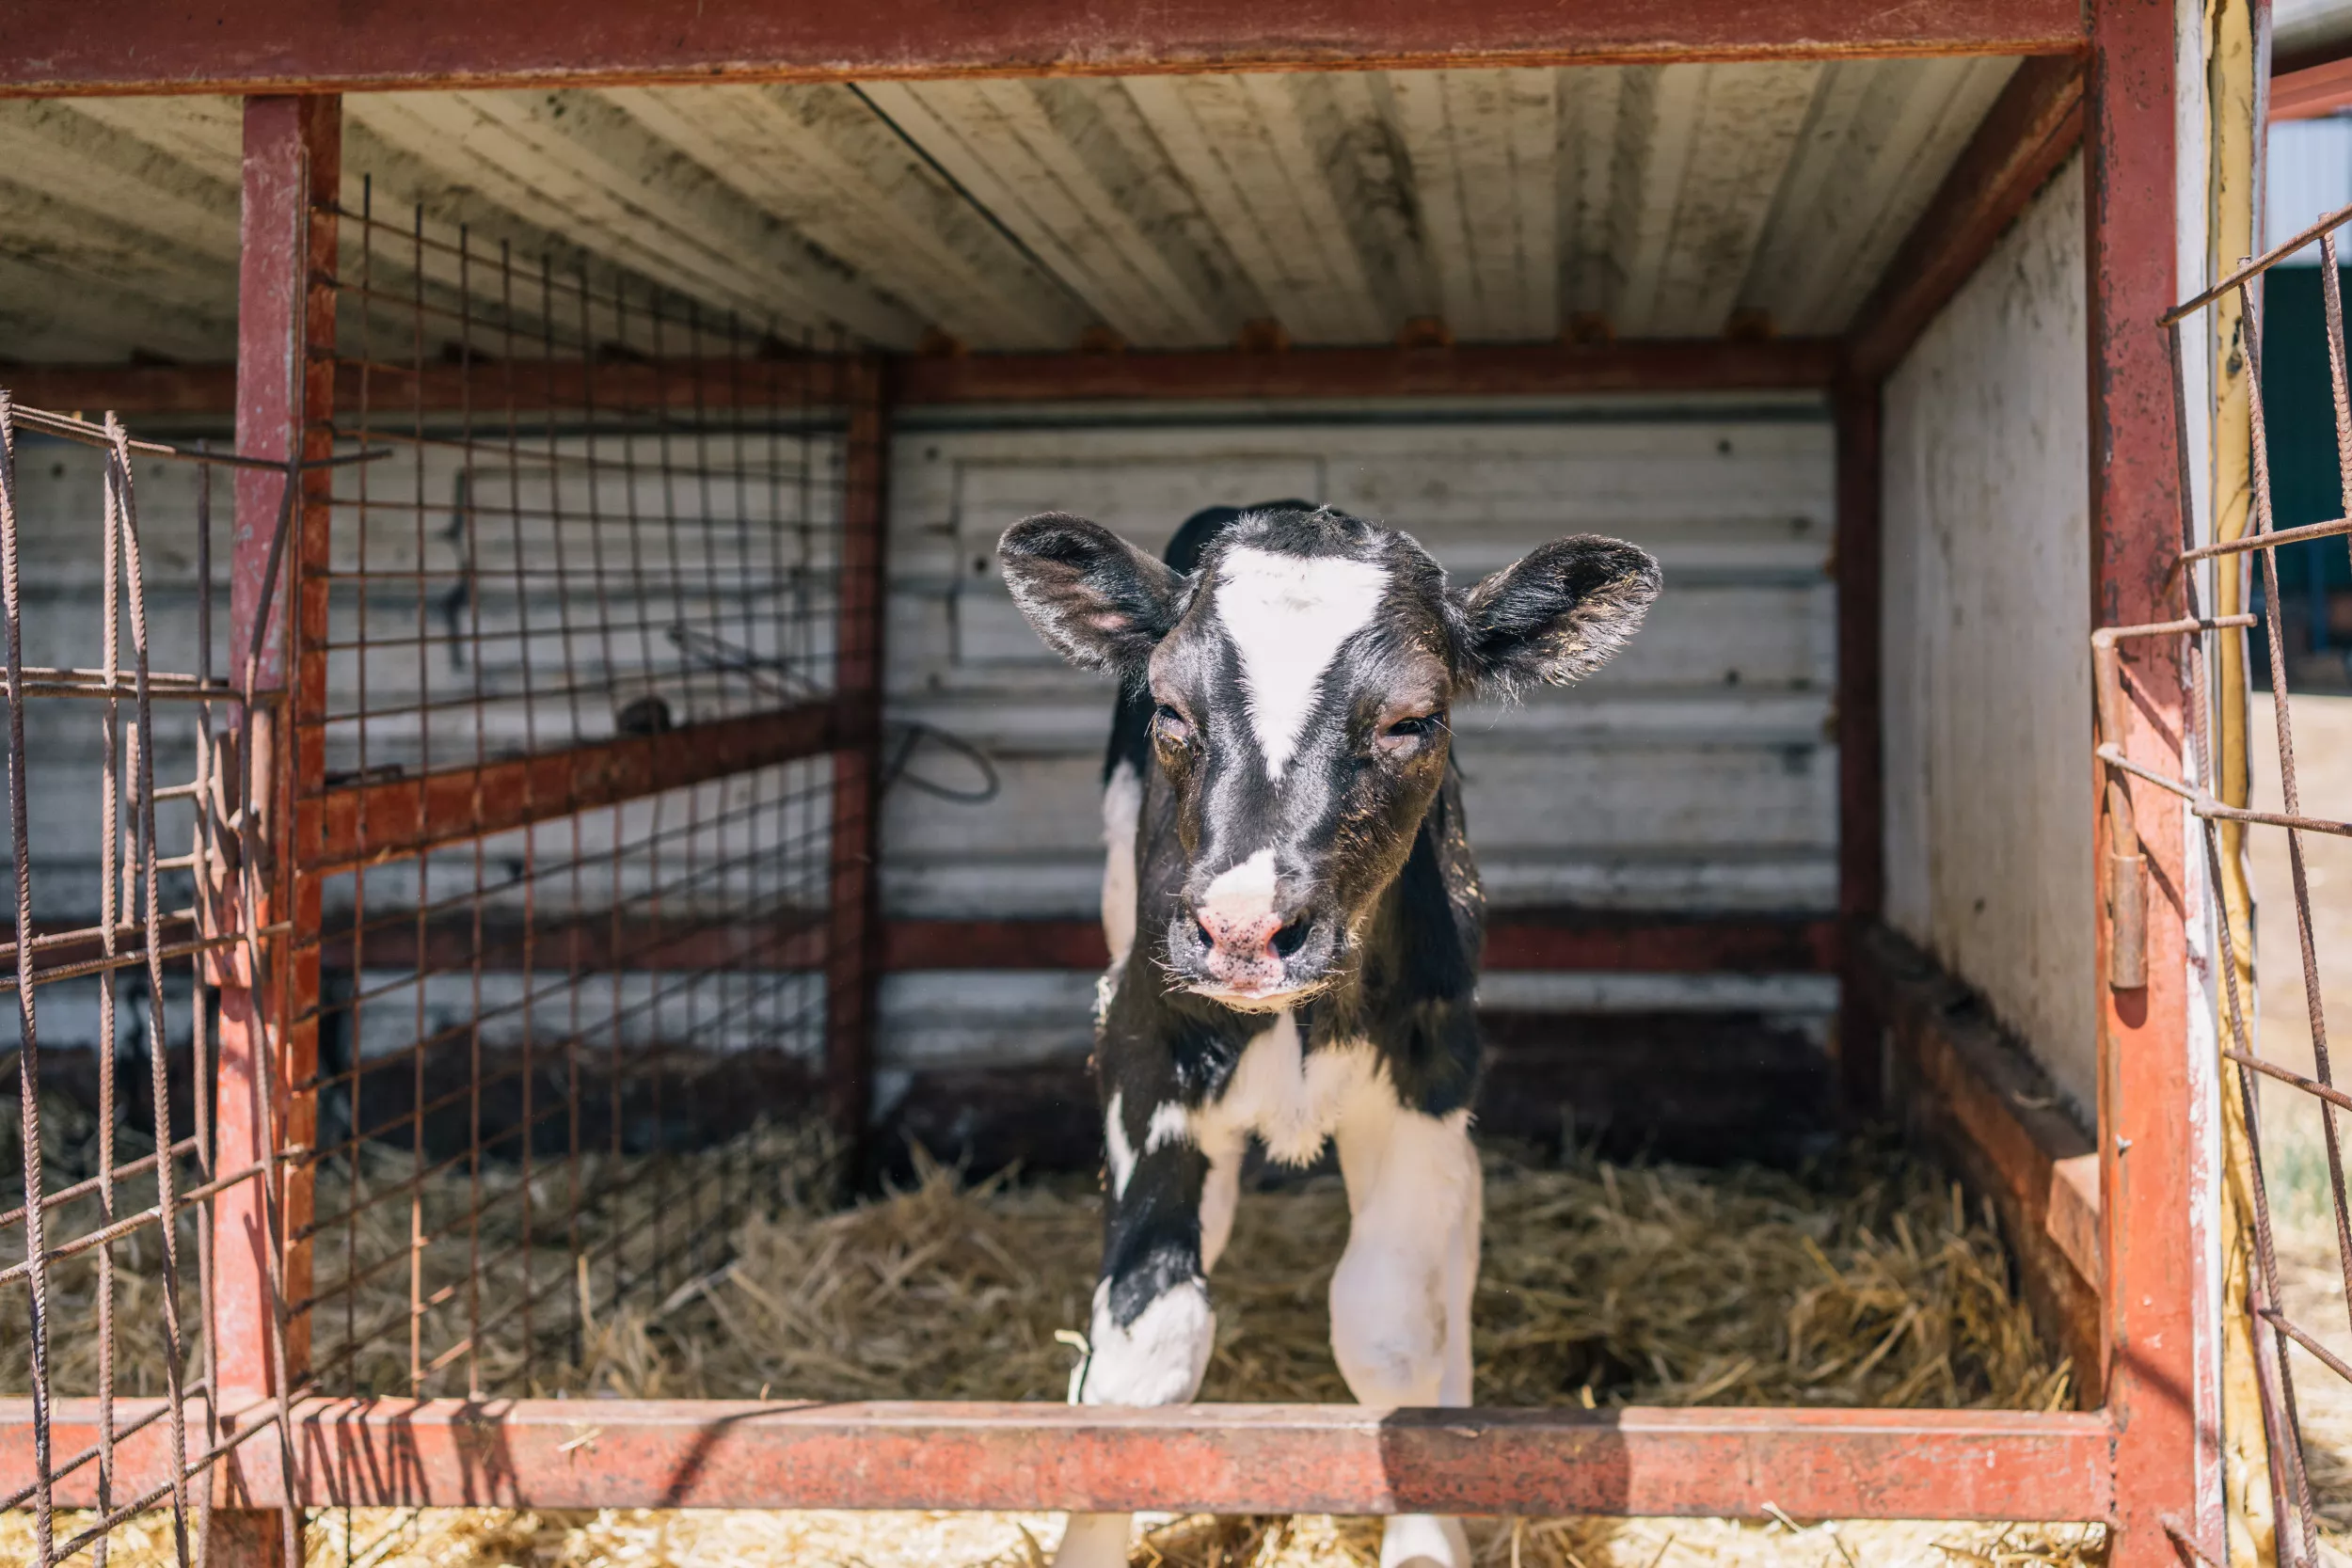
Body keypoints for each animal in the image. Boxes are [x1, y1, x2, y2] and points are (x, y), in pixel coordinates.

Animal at [996, 503, 1660, 1568]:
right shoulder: (1141, 1060)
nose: (1241, 929)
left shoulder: (1426, 1072)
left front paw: (1430, 1530)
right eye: (1169, 710)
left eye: (1411, 720)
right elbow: (1142, 1357)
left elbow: (1392, 1333)